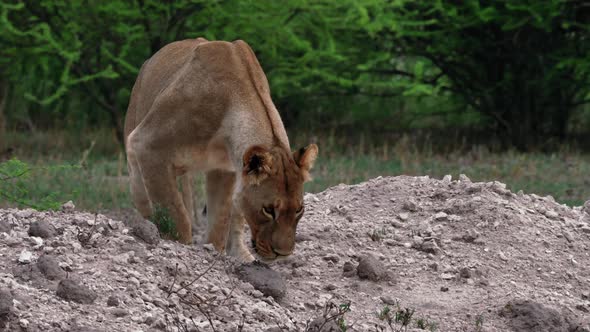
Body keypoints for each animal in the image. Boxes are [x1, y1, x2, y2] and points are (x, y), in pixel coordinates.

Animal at [123, 37, 320, 262]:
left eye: (299, 209)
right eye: (268, 210)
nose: (283, 253)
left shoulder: (225, 169)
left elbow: (219, 221)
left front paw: (211, 253)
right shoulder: (148, 146)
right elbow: (174, 214)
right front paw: (179, 249)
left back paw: (242, 255)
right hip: (135, 157)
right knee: (144, 200)